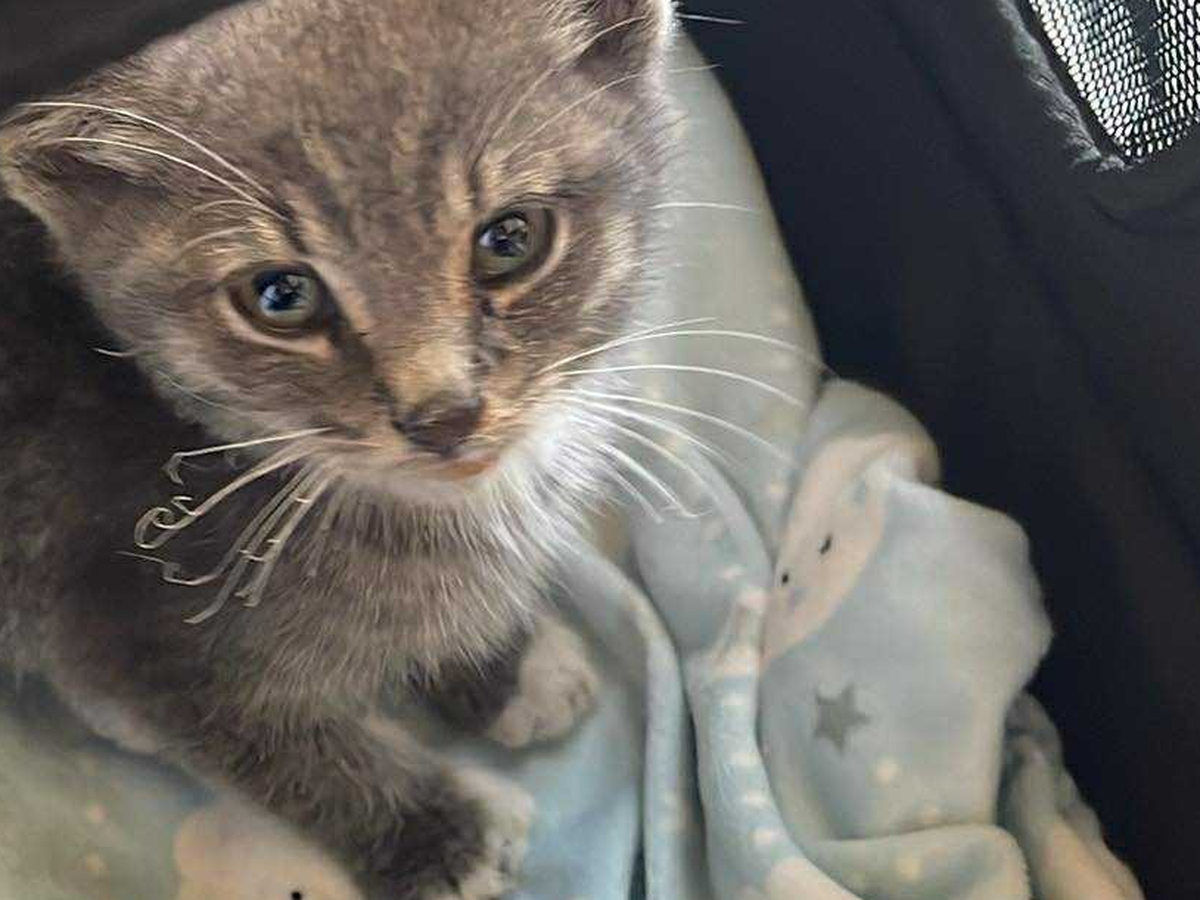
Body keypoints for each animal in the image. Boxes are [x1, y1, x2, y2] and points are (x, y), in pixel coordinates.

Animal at [0, 1, 676, 897]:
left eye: (511, 239)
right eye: (280, 296)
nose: (443, 416)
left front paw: (504, 665)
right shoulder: (110, 621)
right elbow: (274, 744)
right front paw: (441, 840)